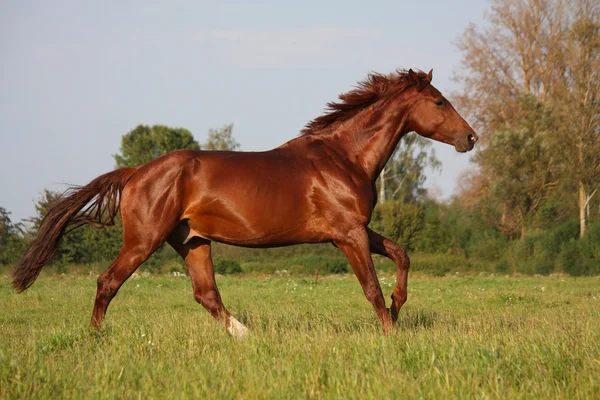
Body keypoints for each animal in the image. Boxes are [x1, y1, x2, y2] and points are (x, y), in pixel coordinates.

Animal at [12, 69, 478, 334]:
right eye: (438, 101)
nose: (471, 138)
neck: (342, 156)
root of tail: (136, 172)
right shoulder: (348, 234)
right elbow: (370, 288)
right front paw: (390, 333)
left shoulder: (353, 230)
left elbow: (401, 255)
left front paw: (399, 309)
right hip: (144, 241)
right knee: (108, 282)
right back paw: (94, 338)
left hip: (192, 241)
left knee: (207, 295)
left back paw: (247, 335)